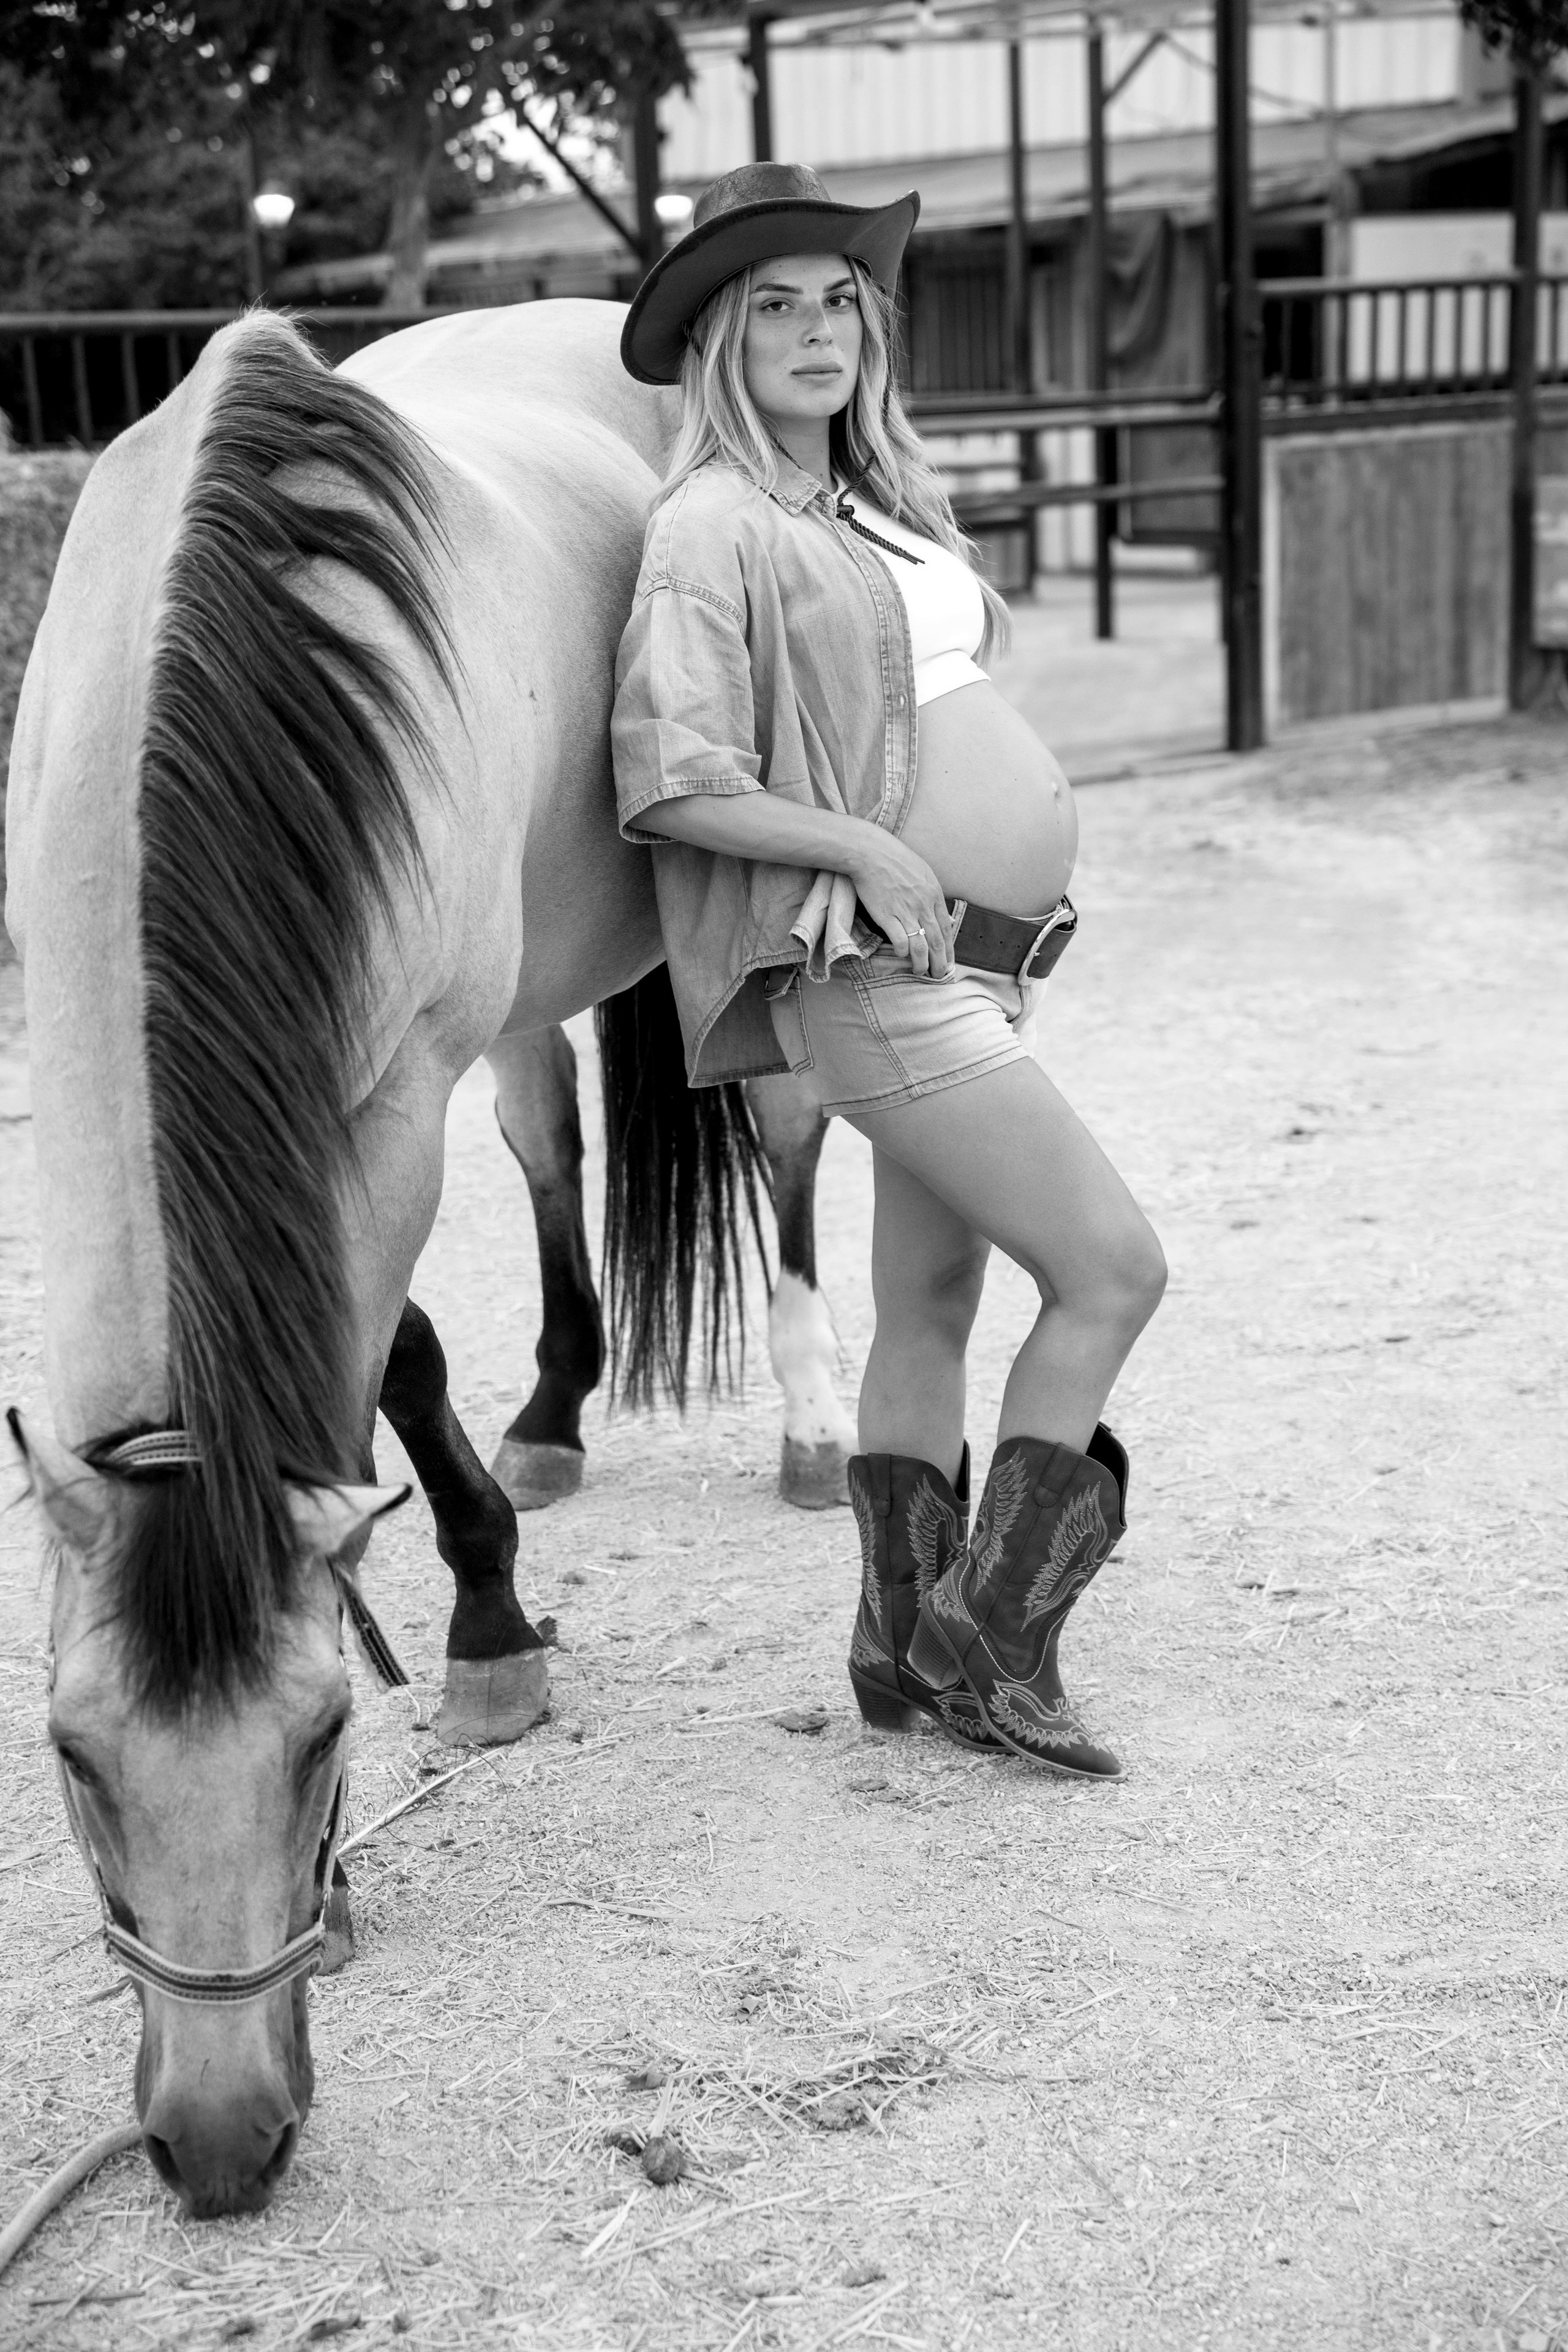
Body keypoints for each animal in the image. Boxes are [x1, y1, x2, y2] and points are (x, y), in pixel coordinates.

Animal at [2, 297, 849, 2220]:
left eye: (325, 1735)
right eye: (74, 1754)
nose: (218, 2140)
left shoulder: (390, 1090)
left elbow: (385, 1352)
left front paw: (485, 1637)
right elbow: (401, 1347)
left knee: (784, 1138)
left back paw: (816, 1428)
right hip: (534, 982)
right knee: (550, 1149)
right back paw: (551, 1415)